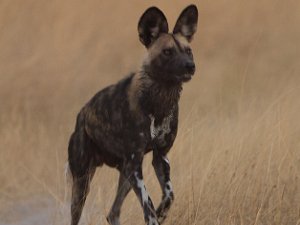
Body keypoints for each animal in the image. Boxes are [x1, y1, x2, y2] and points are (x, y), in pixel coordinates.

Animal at [68, 4, 198, 225]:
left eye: (188, 51)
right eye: (167, 52)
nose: (190, 66)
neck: (159, 102)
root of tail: (82, 114)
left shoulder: (160, 157)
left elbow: (169, 195)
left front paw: (162, 212)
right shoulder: (136, 165)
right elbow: (148, 206)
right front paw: (155, 216)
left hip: (125, 175)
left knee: (113, 212)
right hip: (83, 183)